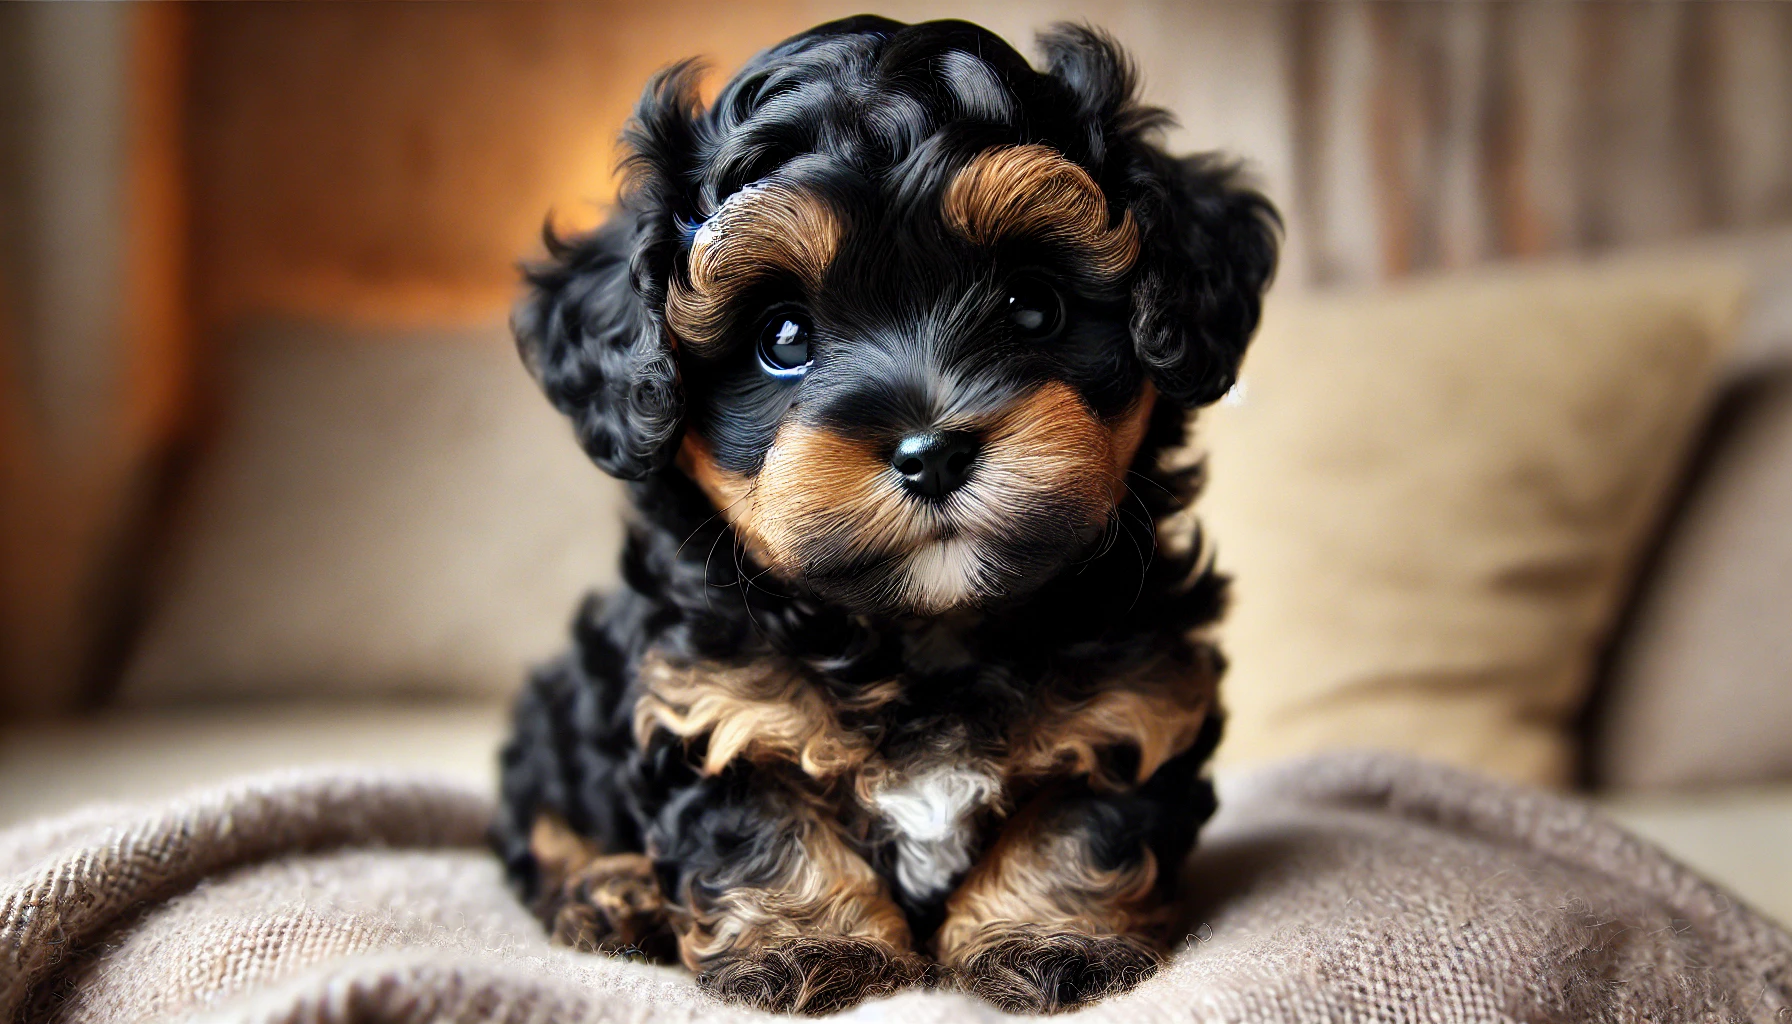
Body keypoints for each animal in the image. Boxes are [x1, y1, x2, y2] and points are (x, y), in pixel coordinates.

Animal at [491, 16, 1275, 1018]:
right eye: (782, 336)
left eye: (1034, 306)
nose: (930, 451)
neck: (924, 631)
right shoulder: (711, 701)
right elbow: (763, 826)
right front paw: (809, 947)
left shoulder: (1134, 703)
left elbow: (1076, 825)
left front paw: (1046, 937)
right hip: (558, 715)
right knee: (544, 827)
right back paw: (609, 891)